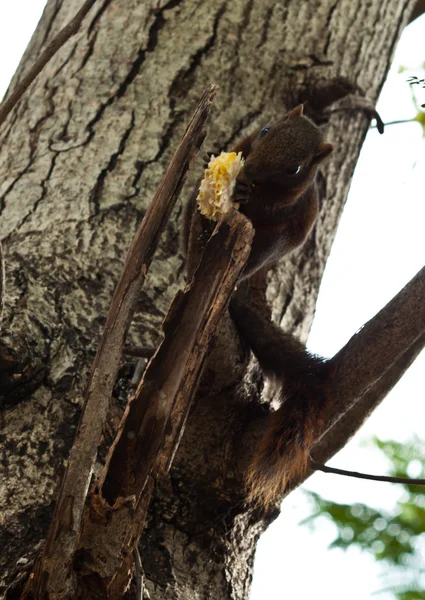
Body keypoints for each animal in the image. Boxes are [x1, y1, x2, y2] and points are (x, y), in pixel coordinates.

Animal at [184, 105, 332, 508]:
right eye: (266, 130)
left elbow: (272, 205)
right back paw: (201, 234)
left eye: (294, 169)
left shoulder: (290, 200)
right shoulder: (245, 142)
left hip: (274, 245)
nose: (248, 171)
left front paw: (247, 190)